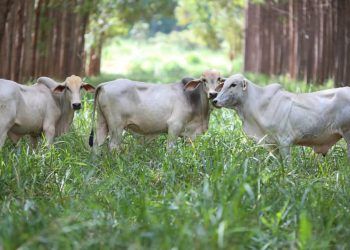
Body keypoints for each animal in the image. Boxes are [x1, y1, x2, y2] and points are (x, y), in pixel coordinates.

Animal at [88, 69, 224, 150]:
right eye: (203, 80)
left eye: (219, 79)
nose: (213, 94)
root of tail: (105, 84)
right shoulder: (175, 125)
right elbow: (170, 148)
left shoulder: (189, 135)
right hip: (116, 126)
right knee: (113, 145)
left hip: (101, 121)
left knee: (97, 143)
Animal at [213, 74, 350, 159]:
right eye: (223, 85)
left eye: (233, 84)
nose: (214, 100)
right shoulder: (273, 145)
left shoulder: (285, 140)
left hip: (347, 133)